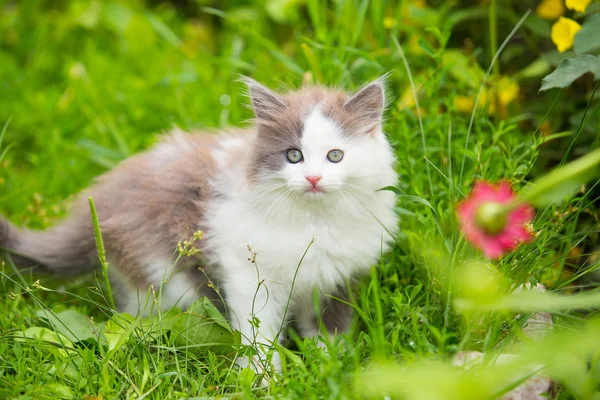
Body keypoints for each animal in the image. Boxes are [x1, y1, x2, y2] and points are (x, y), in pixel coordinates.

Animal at [3, 77, 404, 372]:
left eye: (335, 156)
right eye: (294, 155)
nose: (314, 178)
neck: (314, 222)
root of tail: (99, 203)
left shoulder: (336, 277)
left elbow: (329, 326)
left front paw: (332, 366)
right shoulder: (248, 273)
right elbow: (259, 334)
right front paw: (265, 379)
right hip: (166, 278)